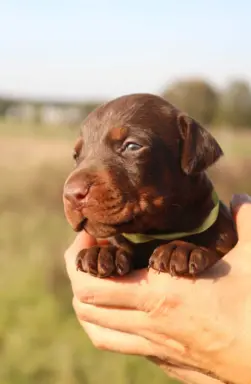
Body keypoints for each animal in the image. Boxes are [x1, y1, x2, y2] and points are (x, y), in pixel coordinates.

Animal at [62, 94, 237, 278]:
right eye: (76, 155)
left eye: (132, 146)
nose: (71, 194)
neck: (154, 234)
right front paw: (103, 252)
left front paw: (181, 249)